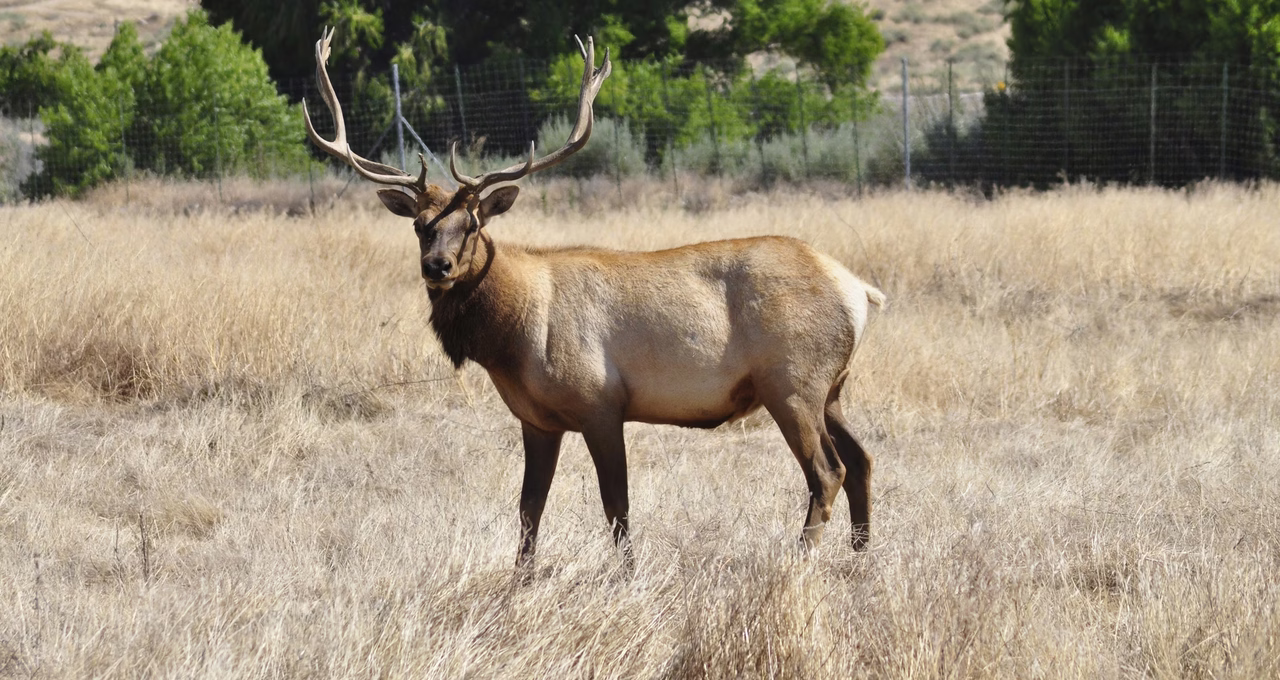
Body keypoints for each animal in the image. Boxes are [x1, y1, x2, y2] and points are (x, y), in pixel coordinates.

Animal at [303, 28, 885, 571]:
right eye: (421, 226)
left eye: (472, 225)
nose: (437, 267)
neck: (514, 338)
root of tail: (860, 290)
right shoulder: (536, 420)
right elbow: (529, 508)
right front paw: (520, 580)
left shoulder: (601, 403)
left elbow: (616, 506)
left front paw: (627, 576)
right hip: (829, 387)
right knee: (861, 460)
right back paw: (861, 557)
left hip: (791, 381)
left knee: (827, 470)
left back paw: (800, 558)